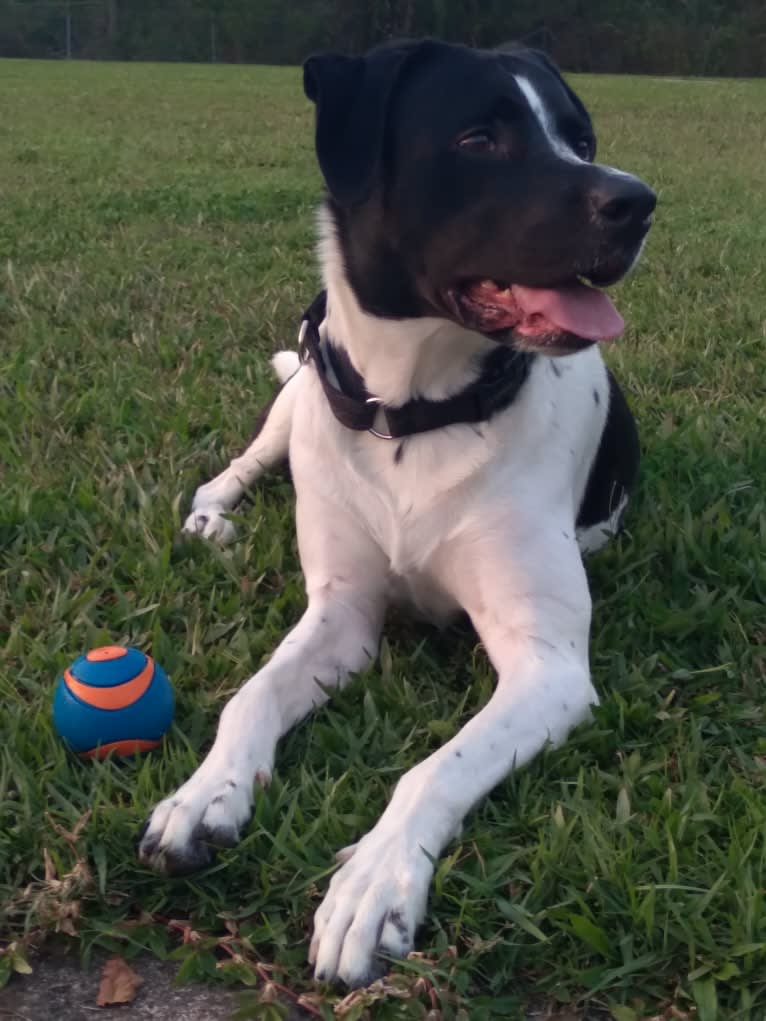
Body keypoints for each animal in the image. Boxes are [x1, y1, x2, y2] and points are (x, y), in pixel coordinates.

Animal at [140, 39, 657, 988]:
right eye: (478, 137)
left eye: (581, 138)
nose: (637, 201)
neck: (417, 414)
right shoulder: (340, 614)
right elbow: (250, 696)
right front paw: (204, 793)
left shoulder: (549, 668)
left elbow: (434, 769)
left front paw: (373, 884)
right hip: (300, 397)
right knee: (238, 464)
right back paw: (211, 522)